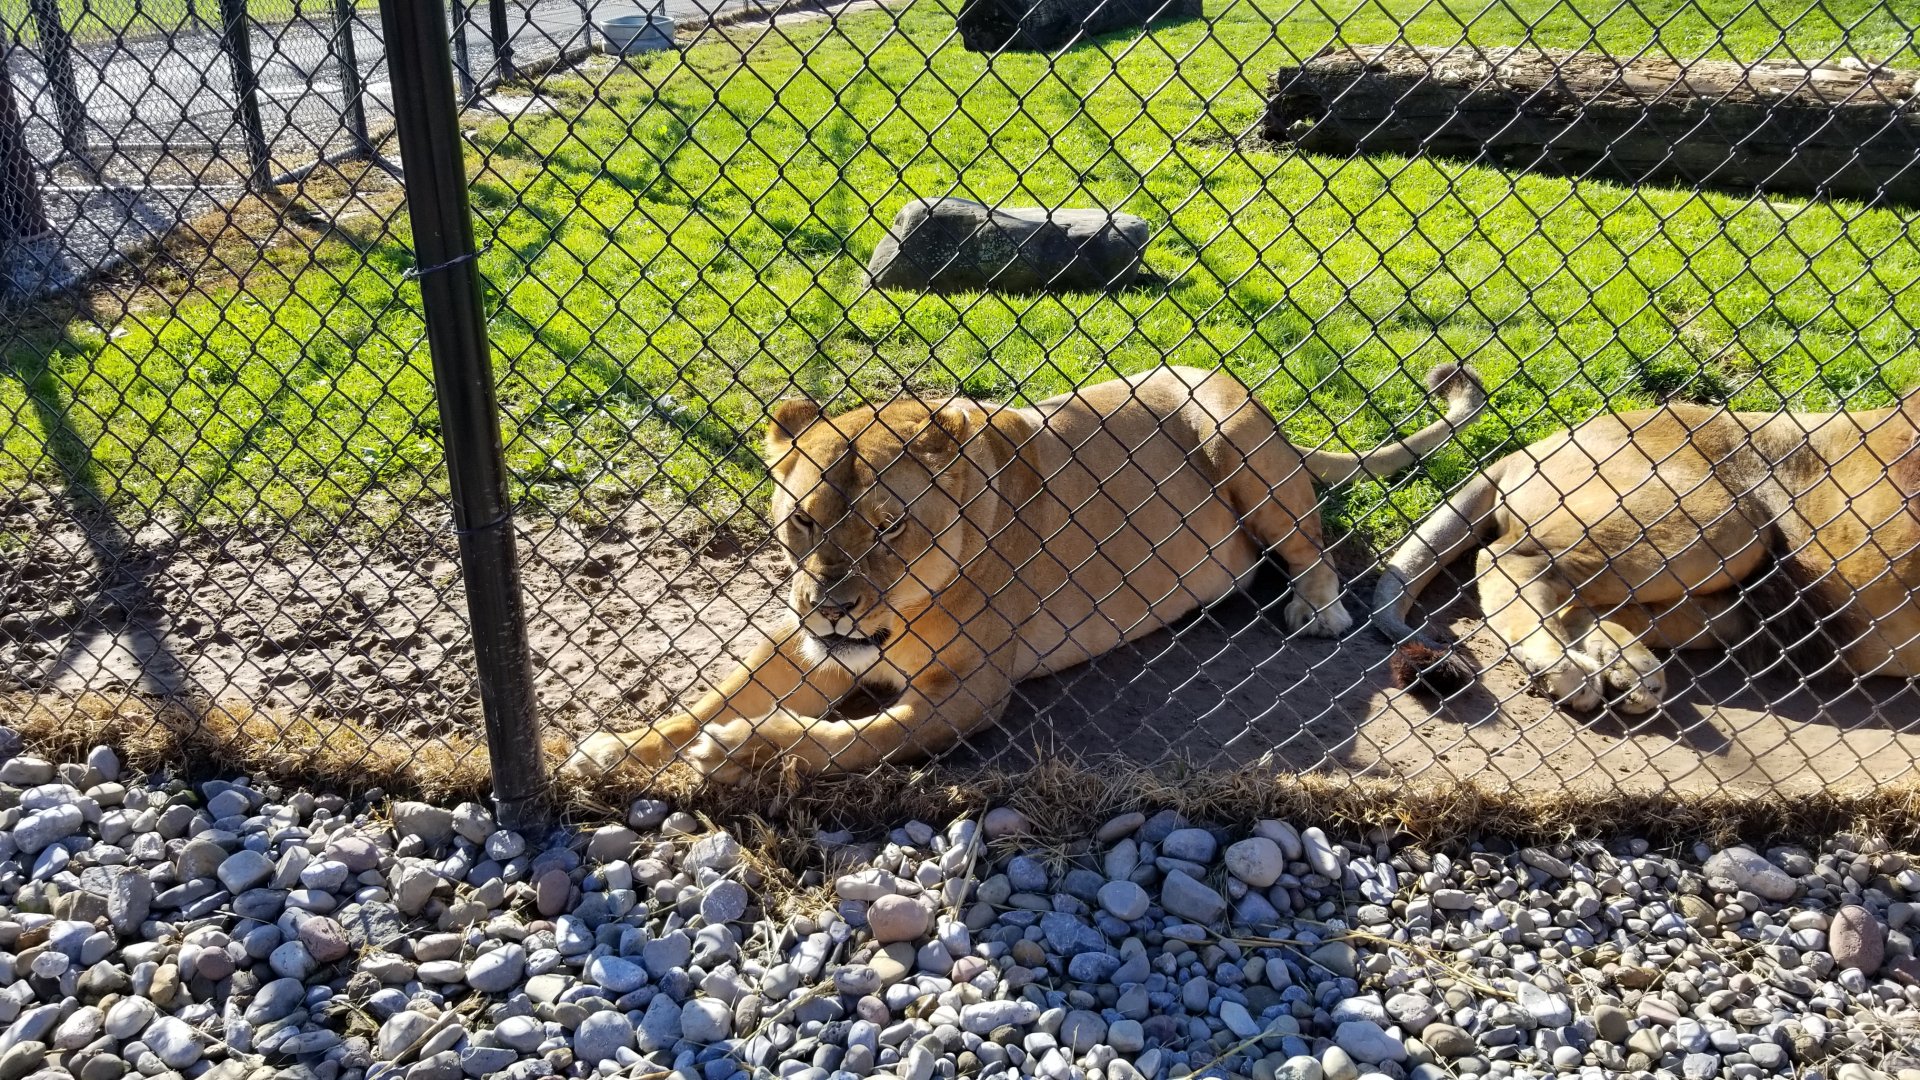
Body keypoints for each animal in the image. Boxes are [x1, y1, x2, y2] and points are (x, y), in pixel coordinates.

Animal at [563, 363, 1485, 781]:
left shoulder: (972, 690)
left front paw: (743, 748)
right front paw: (616, 747)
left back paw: (1316, 608)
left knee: (1315, 547)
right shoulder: (804, 644)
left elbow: (860, 740)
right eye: (803, 520)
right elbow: (713, 694)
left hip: (1232, 440)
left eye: (889, 525)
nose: (832, 609)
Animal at [1372, 394, 1920, 713]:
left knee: (1583, 605)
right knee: (1512, 561)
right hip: (1724, 520)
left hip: (1728, 599)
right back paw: (1566, 670)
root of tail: (1532, 447)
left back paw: (1628, 671)